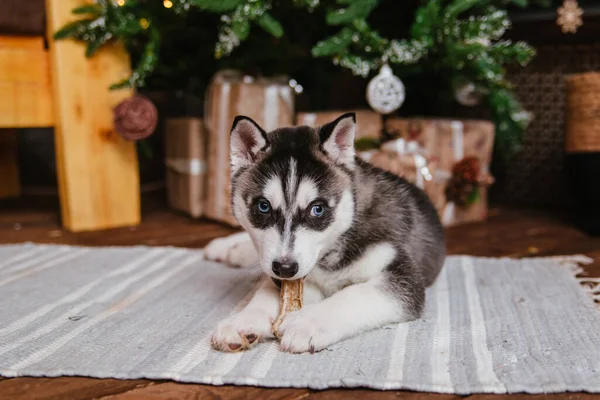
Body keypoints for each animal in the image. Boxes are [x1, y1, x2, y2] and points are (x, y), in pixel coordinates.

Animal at [206, 112, 446, 354]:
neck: (332, 247)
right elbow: (266, 291)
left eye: (317, 209)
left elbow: (352, 295)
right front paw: (243, 320)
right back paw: (226, 247)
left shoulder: (402, 274)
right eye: (263, 206)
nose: (285, 268)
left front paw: (306, 323)